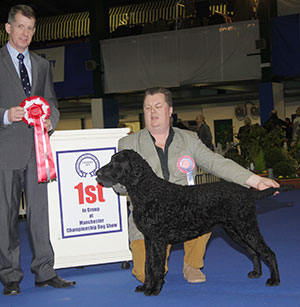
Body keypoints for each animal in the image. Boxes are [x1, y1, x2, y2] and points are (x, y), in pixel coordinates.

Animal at [96, 150, 292, 298]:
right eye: (111, 160)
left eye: (116, 162)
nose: (97, 173)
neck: (148, 191)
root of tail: (247, 192)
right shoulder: (149, 240)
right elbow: (147, 265)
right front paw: (146, 286)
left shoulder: (158, 240)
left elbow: (157, 266)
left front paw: (154, 290)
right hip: (235, 232)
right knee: (254, 253)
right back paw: (256, 273)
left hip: (247, 228)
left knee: (268, 253)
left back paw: (274, 280)